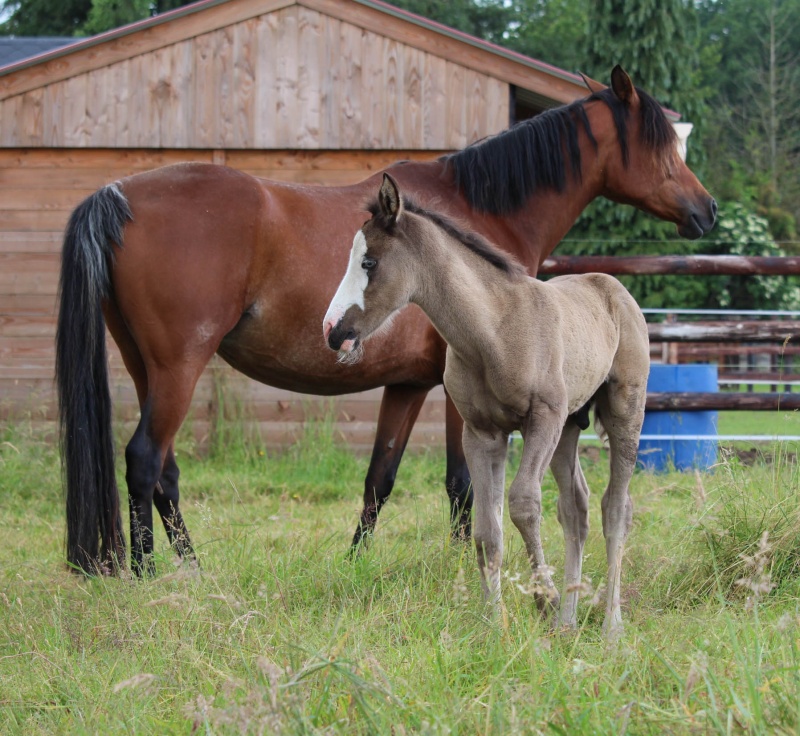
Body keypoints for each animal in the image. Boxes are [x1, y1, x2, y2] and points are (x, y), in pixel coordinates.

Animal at [56, 64, 716, 576]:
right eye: (664, 145)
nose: (707, 209)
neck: (475, 212)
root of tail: (118, 195)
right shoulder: (460, 394)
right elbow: (463, 483)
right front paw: (466, 564)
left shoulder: (406, 385)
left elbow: (381, 478)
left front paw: (355, 564)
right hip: (179, 367)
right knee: (145, 460)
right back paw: (151, 576)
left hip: (147, 367)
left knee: (164, 473)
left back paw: (192, 569)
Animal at [324, 175, 648, 636]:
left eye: (369, 263)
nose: (333, 332)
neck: (493, 330)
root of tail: (613, 286)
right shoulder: (482, 433)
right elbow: (486, 532)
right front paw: (494, 623)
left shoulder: (542, 419)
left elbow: (524, 504)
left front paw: (543, 600)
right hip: (571, 424)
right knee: (576, 508)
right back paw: (568, 623)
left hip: (623, 410)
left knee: (615, 508)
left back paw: (610, 627)